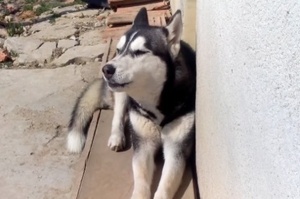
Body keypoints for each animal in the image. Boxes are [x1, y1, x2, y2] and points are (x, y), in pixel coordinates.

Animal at [67, 7, 196, 199]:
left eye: (140, 52)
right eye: (119, 50)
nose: (106, 69)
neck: (156, 104)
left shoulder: (176, 150)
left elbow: (165, 185)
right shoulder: (143, 146)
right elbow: (141, 180)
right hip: (121, 95)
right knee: (118, 115)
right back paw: (117, 137)